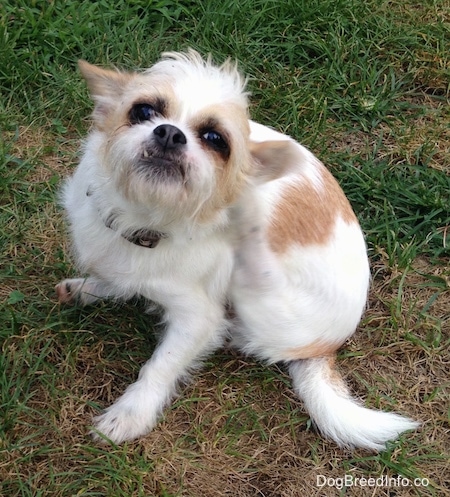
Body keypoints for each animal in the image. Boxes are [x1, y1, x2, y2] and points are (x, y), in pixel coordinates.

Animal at [56, 50, 418, 450]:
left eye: (215, 139)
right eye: (143, 110)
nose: (169, 132)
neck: (146, 222)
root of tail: (327, 347)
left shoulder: (198, 319)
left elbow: (161, 365)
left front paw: (130, 414)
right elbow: (117, 279)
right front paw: (94, 287)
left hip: (254, 295)